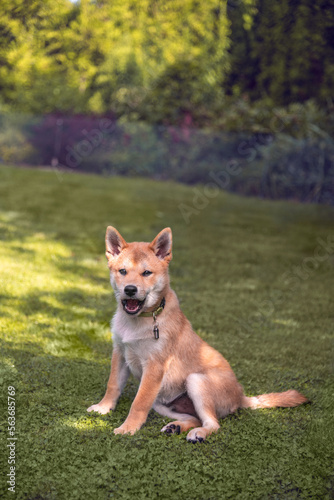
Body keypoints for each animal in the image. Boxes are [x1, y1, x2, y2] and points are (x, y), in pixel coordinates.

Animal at [87, 227, 310, 442]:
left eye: (147, 272)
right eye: (123, 271)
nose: (130, 290)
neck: (138, 321)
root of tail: (241, 396)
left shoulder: (154, 367)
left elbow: (139, 402)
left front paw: (128, 428)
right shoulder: (120, 353)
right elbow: (113, 384)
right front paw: (103, 407)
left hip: (196, 381)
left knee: (213, 424)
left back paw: (199, 433)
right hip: (162, 402)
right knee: (195, 418)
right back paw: (176, 427)